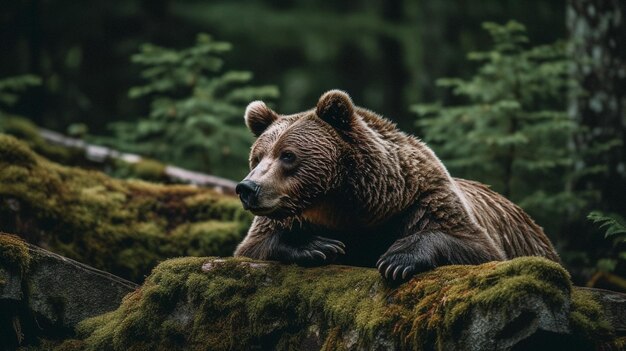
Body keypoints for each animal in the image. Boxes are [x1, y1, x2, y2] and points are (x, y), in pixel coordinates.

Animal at [232, 90, 560, 284]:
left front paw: (396, 260)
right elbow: (253, 245)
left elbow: (476, 246)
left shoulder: (422, 199)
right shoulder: (291, 215)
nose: (248, 187)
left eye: (288, 155)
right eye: (258, 157)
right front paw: (319, 246)